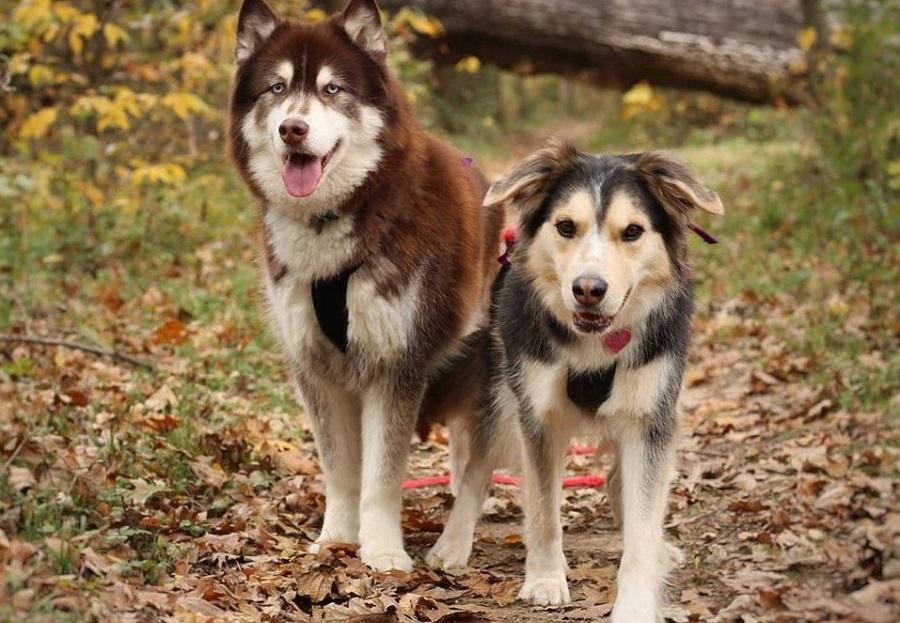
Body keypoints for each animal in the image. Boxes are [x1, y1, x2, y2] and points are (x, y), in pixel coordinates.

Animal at [430, 143, 724, 623]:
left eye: (633, 231)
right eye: (566, 226)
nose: (589, 289)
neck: (596, 345)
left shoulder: (651, 416)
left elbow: (643, 519)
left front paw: (636, 599)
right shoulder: (538, 417)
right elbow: (544, 510)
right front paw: (546, 579)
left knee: (621, 481)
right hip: (502, 394)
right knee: (477, 469)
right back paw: (453, 542)